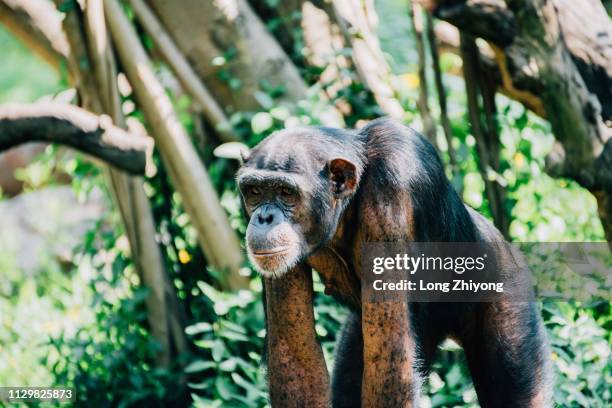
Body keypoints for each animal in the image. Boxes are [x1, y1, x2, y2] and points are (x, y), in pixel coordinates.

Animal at [237, 116, 552, 406]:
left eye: (285, 192)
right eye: (255, 191)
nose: (264, 217)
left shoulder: (393, 187)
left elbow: (391, 364)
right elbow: (294, 352)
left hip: (510, 298)